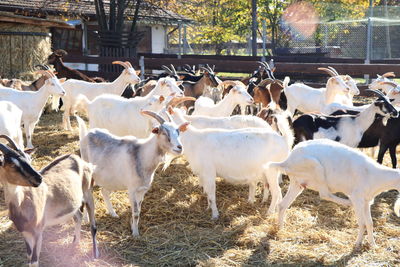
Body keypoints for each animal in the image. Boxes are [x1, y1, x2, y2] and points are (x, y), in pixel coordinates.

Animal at [268, 138, 400, 249]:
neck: (375, 176)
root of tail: (287, 161)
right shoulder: (358, 198)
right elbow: (362, 223)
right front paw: (357, 244)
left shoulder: (367, 201)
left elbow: (370, 223)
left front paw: (373, 245)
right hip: (316, 169)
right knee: (324, 194)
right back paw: (347, 203)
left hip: (298, 183)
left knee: (282, 205)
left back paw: (280, 229)